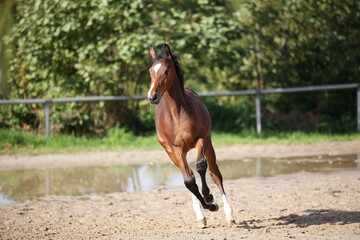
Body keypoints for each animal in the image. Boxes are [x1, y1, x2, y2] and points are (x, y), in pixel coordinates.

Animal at [147, 44, 235, 228]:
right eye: (151, 70)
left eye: (166, 71)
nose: (152, 96)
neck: (178, 114)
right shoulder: (174, 149)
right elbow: (189, 181)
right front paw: (209, 206)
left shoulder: (201, 139)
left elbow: (201, 166)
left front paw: (209, 197)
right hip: (175, 153)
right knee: (189, 176)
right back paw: (201, 216)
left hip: (208, 145)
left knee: (215, 174)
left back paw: (229, 214)